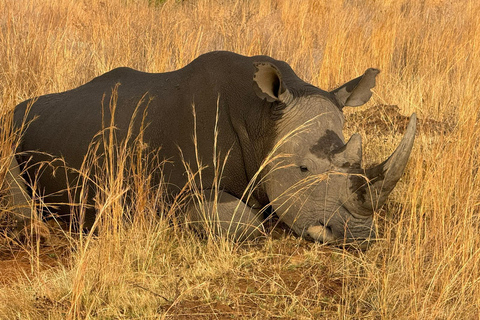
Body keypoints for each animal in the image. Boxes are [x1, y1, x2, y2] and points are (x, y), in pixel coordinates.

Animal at [10, 50, 416, 248]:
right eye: (302, 170)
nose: (358, 235)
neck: (263, 121)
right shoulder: (166, 193)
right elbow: (246, 224)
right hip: (12, 126)